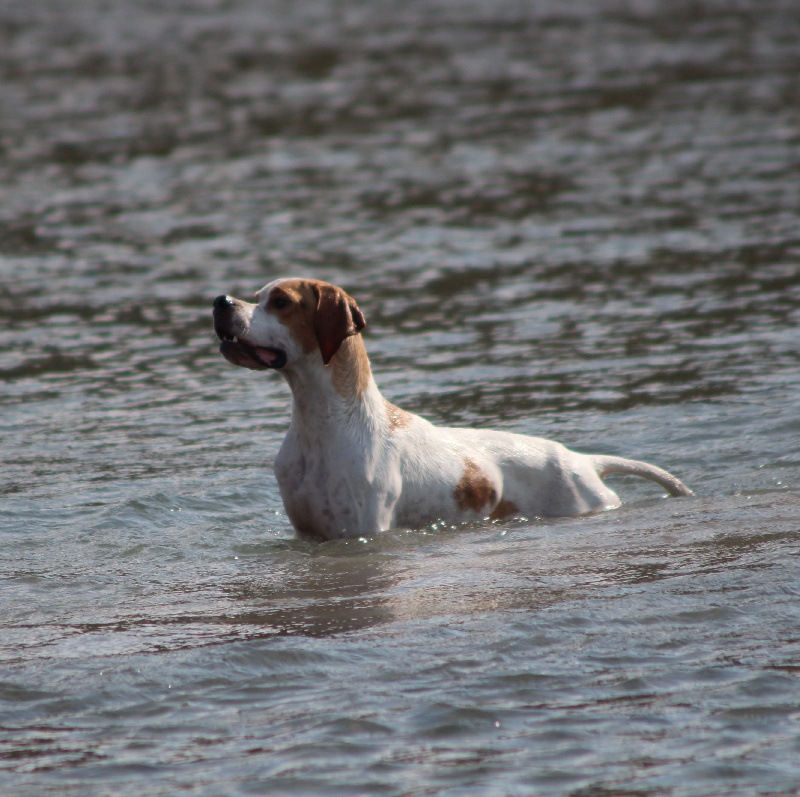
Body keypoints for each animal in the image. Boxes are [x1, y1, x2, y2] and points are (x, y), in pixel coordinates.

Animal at [212, 276, 692, 536]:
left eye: (280, 302)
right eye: (256, 295)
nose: (220, 301)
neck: (324, 422)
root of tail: (583, 461)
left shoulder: (360, 534)